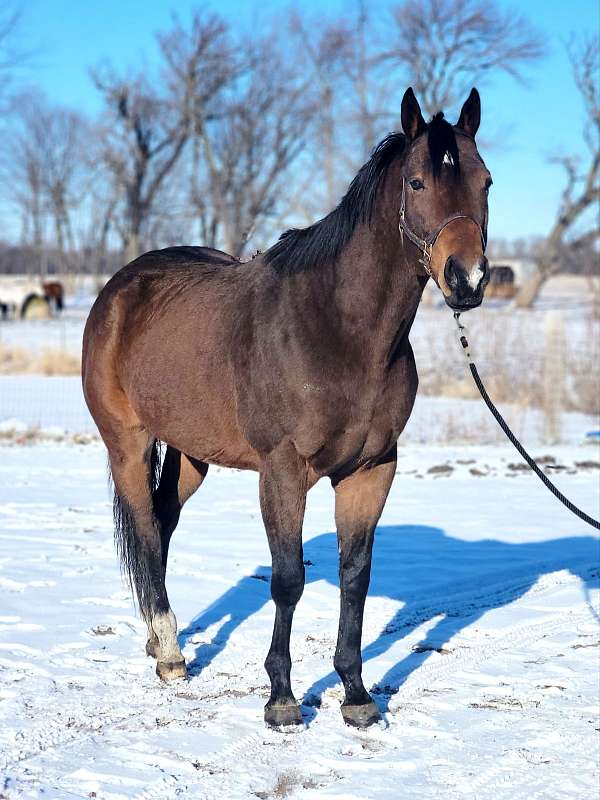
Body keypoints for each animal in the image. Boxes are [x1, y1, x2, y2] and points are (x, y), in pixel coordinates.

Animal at [81, 89, 492, 732]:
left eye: (486, 182)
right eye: (418, 182)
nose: (467, 280)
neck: (338, 330)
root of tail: (120, 290)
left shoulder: (372, 471)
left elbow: (355, 577)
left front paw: (356, 694)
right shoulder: (282, 472)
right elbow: (288, 579)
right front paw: (281, 699)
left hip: (192, 454)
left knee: (163, 525)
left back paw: (157, 639)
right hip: (127, 444)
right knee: (145, 532)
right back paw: (170, 657)